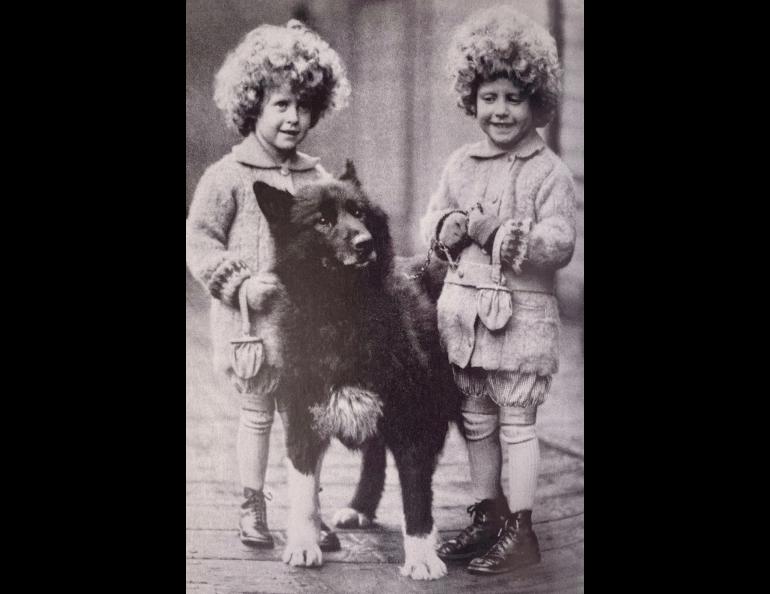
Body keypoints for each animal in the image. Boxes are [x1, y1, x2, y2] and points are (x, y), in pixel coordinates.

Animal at [254, 162, 456, 580]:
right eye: (322, 221)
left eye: (359, 213)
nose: (365, 242)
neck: (342, 309)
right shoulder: (302, 421)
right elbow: (304, 493)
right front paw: (304, 545)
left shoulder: (412, 421)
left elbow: (416, 493)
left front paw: (422, 556)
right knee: (374, 454)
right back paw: (361, 505)